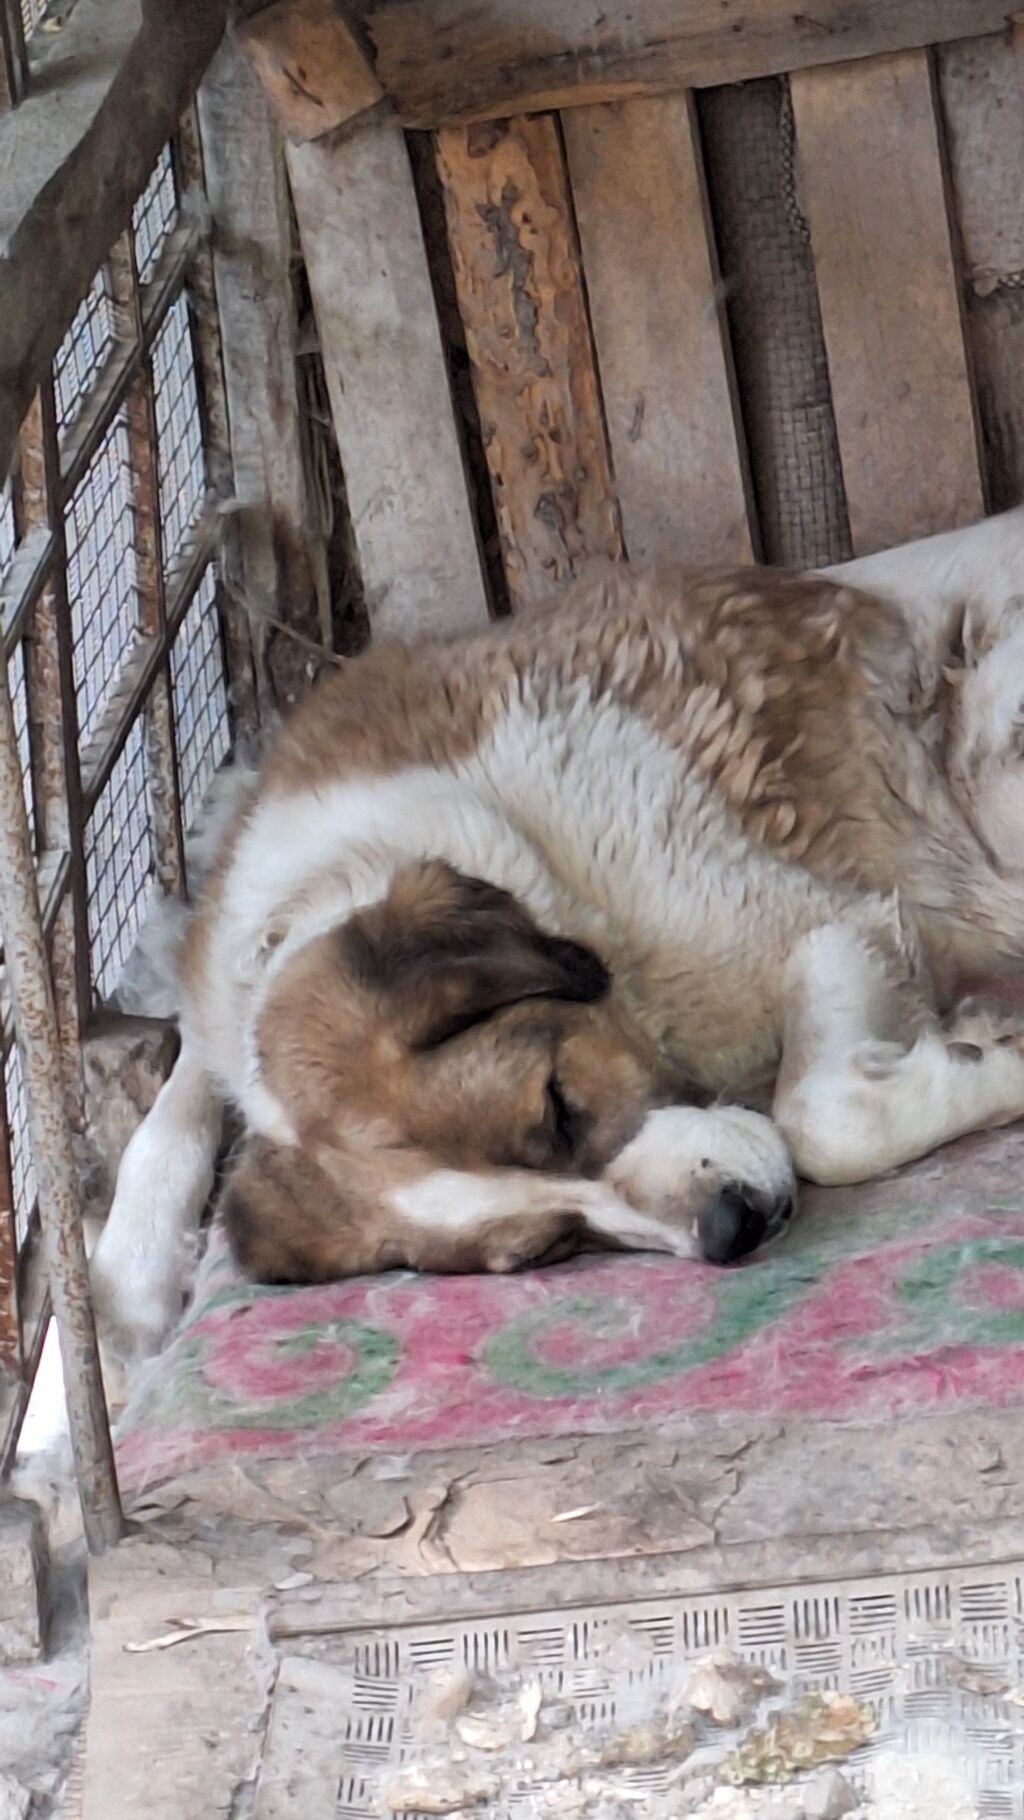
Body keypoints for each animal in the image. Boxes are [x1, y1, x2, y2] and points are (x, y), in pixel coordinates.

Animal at [90, 505, 1024, 1361]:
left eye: (557, 1108)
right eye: (555, 1246)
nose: (731, 1226)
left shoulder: (831, 921)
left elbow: (824, 1120)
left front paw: (997, 1061)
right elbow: (187, 1080)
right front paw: (133, 1262)